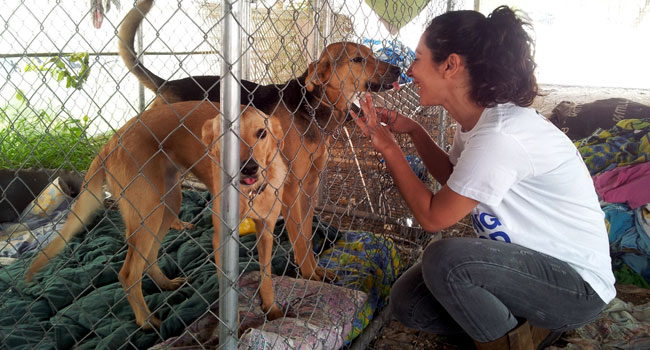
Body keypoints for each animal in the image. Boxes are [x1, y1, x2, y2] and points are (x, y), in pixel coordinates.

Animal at [26, 100, 286, 328]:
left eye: (262, 133)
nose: (249, 168)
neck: (249, 192)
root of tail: (112, 141)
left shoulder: (266, 232)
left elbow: (266, 275)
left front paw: (272, 308)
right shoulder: (221, 239)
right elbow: (228, 287)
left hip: (168, 203)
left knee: (149, 256)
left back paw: (165, 284)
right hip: (149, 212)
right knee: (128, 273)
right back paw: (146, 320)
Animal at [116, 0, 400, 282]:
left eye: (372, 54)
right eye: (358, 59)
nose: (398, 69)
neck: (313, 107)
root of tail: (167, 84)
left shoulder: (309, 187)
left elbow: (308, 235)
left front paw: (317, 269)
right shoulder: (291, 190)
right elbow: (299, 238)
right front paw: (309, 274)